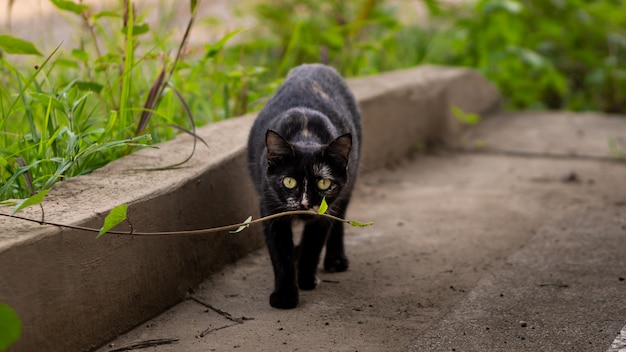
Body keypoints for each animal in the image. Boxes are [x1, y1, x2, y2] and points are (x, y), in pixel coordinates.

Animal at [247, 63, 360, 308]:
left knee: (339, 219)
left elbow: (313, 245)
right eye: (289, 181)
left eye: (324, 183)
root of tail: (314, 65)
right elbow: (281, 252)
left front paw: (306, 279)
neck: (306, 134)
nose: (305, 203)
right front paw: (285, 296)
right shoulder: (270, 209)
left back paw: (336, 259)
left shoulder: (324, 213)